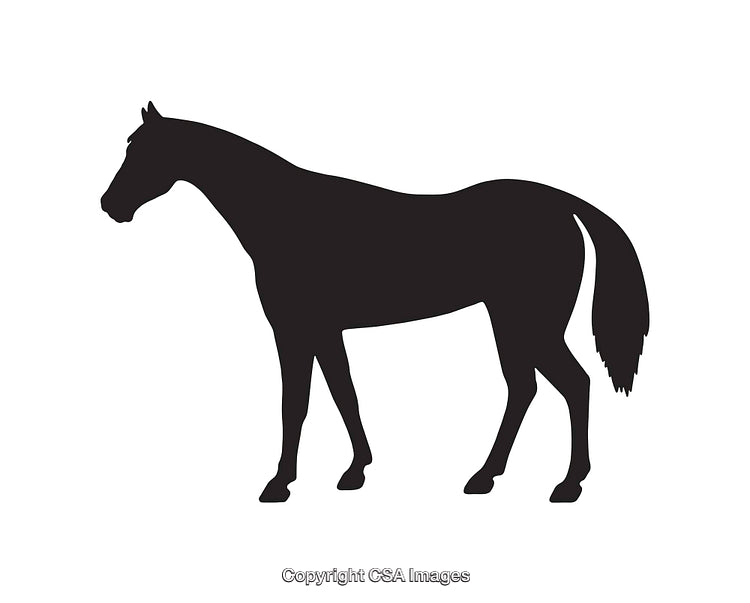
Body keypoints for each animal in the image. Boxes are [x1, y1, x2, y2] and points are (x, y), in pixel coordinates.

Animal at [101, 102, 649, 503]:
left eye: (144, 151)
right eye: (130, 147)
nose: (110, 206)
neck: (285, 215)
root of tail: (565, 205)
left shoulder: (294, 329)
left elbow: (296, 402)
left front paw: (279, 483)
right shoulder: (324, 330)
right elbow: (343, 394)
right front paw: (355, 471)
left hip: (531, 324)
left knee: (572, 385)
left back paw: (567, 484)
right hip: (510, 321)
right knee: (525, 389)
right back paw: (485, 477)